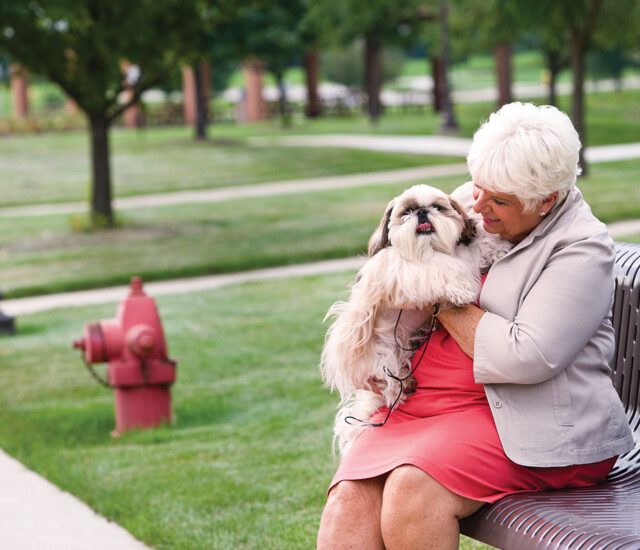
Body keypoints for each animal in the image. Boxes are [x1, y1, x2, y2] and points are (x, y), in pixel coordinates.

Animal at [318, 185, 510, 458]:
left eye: (437, 207)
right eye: (406, 211)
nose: (421, 212)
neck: (432, 247)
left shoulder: (466, 253)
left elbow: (477, 246)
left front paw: (497, 247)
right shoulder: (405, 269)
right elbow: (440, 267)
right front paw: (460, 289)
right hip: (380, 350)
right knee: (388, 383)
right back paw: (403, 386)